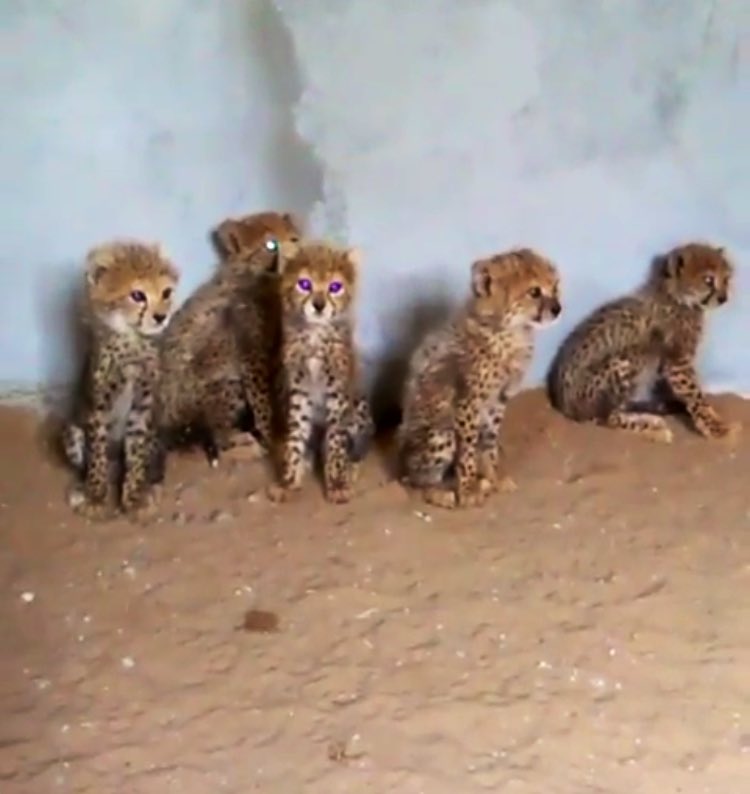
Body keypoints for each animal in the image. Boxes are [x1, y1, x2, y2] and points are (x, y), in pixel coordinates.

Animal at [62, 240, 179, 521]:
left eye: (166, 292)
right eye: (137, 295)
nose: (161, 317)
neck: (131, 340)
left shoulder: (143, 407)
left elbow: (136, 455)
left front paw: (134, 498)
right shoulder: (98, 409)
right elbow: (97, 457)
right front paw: (95, 496)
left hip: (157, 435)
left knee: (155, 466)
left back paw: (150, 487)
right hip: (71, 432)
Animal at [160, 211, 302, 466]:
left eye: (293, 237)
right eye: (271, 244)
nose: (295, 246)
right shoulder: (253, 354)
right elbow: (263, 401)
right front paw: (274, 439)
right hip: (224, 385)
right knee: (219, 438)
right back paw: (246, 445)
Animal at [267, 240, 374, 504]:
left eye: (335, 287)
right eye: (305, 284)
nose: (318, 305)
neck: (315, 334)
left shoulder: (338, 397)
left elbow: (336, 442)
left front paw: (337, 483)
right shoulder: (299, 393)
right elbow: (295, 437)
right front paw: (288, 481)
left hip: (360, 413)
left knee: (358, 448)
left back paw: (350, 467)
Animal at [398, 248, 562, 510]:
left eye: (555, 287)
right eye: (534, 292)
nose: (557, 308)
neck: (509, 331)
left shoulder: (497, 401)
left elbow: (489, 443)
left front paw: (492, 477)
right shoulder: (468, 404)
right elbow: (466, 452)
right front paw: (467, 490)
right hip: (440, 434)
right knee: (417, 481)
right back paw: (440, 493)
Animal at [547, 242, 740, 444]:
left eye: (726, 278)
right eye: (708, 280)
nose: (724, 298)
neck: (676, 297)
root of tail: (564, 405)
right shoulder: (678, 363)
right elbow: (695, 395)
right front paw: (717, 429)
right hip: (624, 362)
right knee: (608, 418)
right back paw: (651, 426)